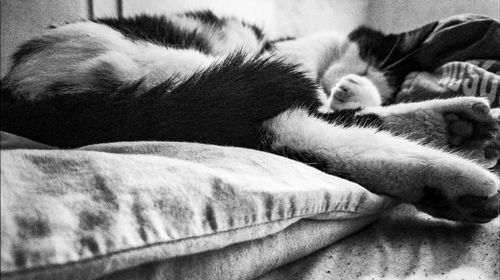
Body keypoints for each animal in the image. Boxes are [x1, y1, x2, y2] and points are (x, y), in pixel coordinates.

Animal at [0, 10, 500, 223]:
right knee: (289, 125)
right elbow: (336, 104)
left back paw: (460, 129)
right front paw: (351, 90)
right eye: (368, 60)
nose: (350, 80)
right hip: (185, 67)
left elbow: (360, 108)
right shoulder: (287, 58)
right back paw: (455, 172)